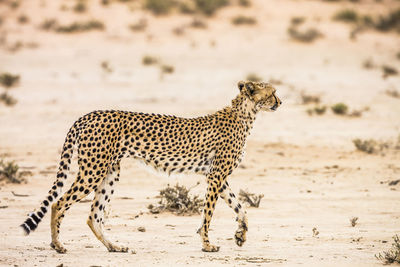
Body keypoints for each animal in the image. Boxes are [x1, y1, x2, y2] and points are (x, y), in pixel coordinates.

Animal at [19, 81, 282, 253]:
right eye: (273, 93)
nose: (280, 101)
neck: (244, 114)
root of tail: (89, 114)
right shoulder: (216, 176)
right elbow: (209, 213)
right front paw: (207, 244)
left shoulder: (216, 176)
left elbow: (240, 207)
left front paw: (240, 235)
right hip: (93, 171)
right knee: (58, 203)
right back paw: (58, 244)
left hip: (110, 172)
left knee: (94, 215)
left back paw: (114, 246)